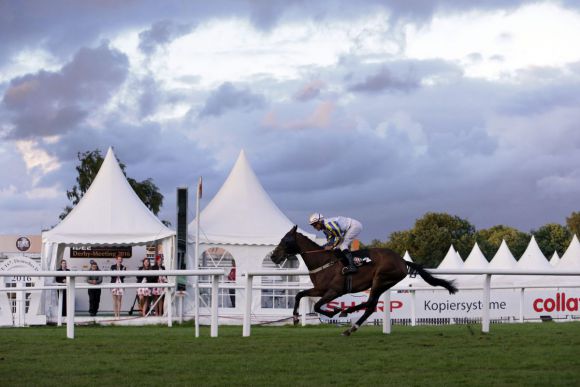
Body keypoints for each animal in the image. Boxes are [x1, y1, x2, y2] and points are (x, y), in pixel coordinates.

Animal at [270, 227, 458, 336]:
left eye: (285, 240)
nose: (273, 256)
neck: (323, 261)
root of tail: (402, 261)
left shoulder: (334, 291)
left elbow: (316, 306)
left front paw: (334, 311)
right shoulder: (320, 289)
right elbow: (299, 295)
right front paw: (295, 318)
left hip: (380, 279)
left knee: (370, 304)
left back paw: (349, 318)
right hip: (383, 284)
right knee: (370, 305)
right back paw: (350, 323)